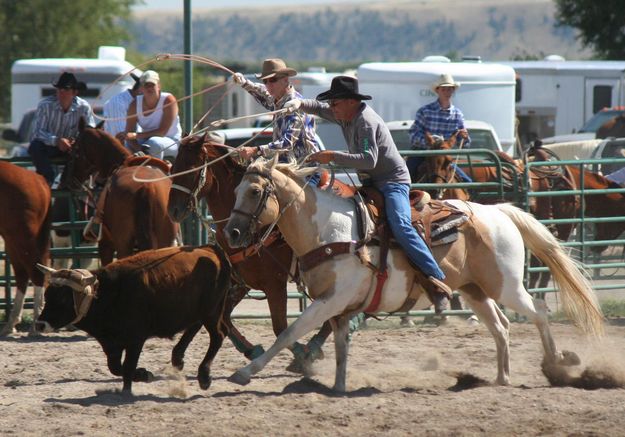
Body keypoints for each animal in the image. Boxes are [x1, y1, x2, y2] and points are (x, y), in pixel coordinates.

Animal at [0, 160, 51, 334]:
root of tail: (37, 179)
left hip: (22, 236)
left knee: (35, 271)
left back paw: (36, 324)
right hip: (11, 239)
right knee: (22, 274)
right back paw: (11, 324)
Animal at [61, 117, 178, 264]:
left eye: (73, 152)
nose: (65, 180)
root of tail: (147, 187)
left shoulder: (105, 243)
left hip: (123, 244)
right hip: (165, 240)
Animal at [166, 134, 332, 364]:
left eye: (190, 170)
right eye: (173, 168)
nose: (172, 211)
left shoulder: (274, 284)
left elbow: (280, 327)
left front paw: (300, 353)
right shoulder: (240, 281)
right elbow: (223, 317)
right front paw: (251, 350)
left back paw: (314, 347)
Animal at [222, 155, 604, 390]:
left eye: (254, 191)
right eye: (235, 189)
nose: (232, 234)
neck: (331, 231)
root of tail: (499, 212)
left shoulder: (330, 301)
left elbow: (288, 333)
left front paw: (245, 372)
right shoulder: (339, 308)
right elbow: (341, 346)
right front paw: (339, 386)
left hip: (505, 285)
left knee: (538, 311)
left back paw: (555, 364)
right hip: (474, 291)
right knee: (501, 326)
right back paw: (502, 377)